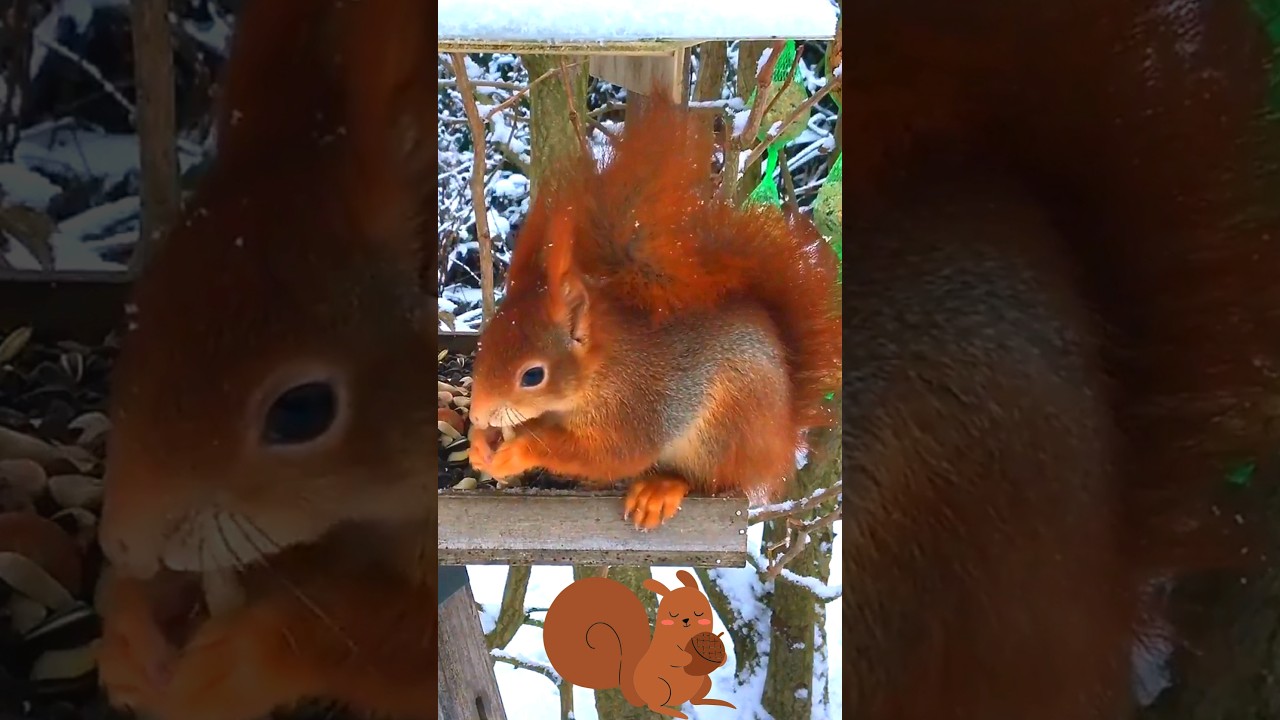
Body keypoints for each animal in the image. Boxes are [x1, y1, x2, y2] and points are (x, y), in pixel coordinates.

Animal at [95, 1, 436, 719]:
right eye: (140, 303)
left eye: (302, 411)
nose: (124, 545)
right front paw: (133, 629)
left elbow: (401, 646)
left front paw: (237, 665)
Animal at [466, 97, 843, 529]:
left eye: (532, 376)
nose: (477, 416)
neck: (601, 372)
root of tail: (779, 443)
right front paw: (480, 445)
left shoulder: (638, 407)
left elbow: (614, 454)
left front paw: (518, 451)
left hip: (723, 432)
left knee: (710, 481)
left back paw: (661, 489)